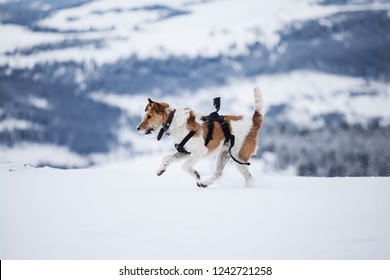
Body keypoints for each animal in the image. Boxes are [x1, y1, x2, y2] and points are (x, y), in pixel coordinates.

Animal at [137, 87, 266, 188]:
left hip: (238, 157)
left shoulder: (199, 151)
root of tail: (254, 123)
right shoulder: (185, 152)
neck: (173, 120)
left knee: (249, 178)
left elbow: (185, 166)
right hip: (224, 155)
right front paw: (161, 169)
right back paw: (204, 183)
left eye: (149, 116)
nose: (138, 128)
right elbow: (166, 158)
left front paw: (196, 174)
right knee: (219, 174)